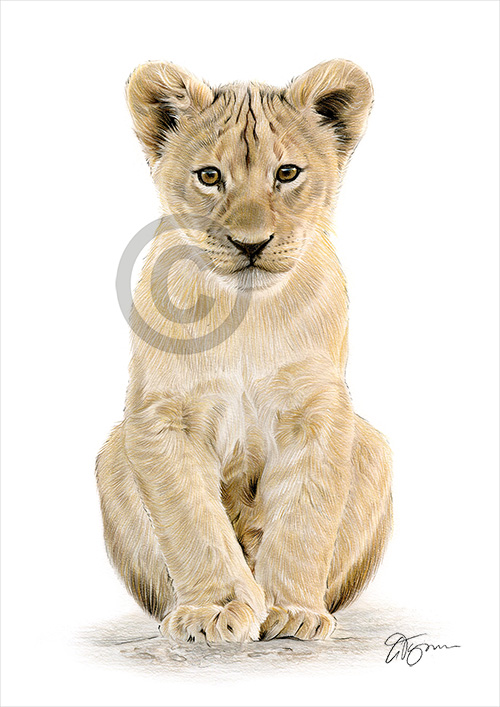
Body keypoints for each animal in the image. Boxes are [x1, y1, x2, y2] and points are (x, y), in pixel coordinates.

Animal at [96, 59, 392, 644]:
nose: (250, 244)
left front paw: (292, 610)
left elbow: (303, 516)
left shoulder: (317, 410)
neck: (245, 317)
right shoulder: (162, 415)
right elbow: (191, 519)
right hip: (115, 450)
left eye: (288, 173)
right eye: (210, 177)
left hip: (372, 446)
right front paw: (213, 610)